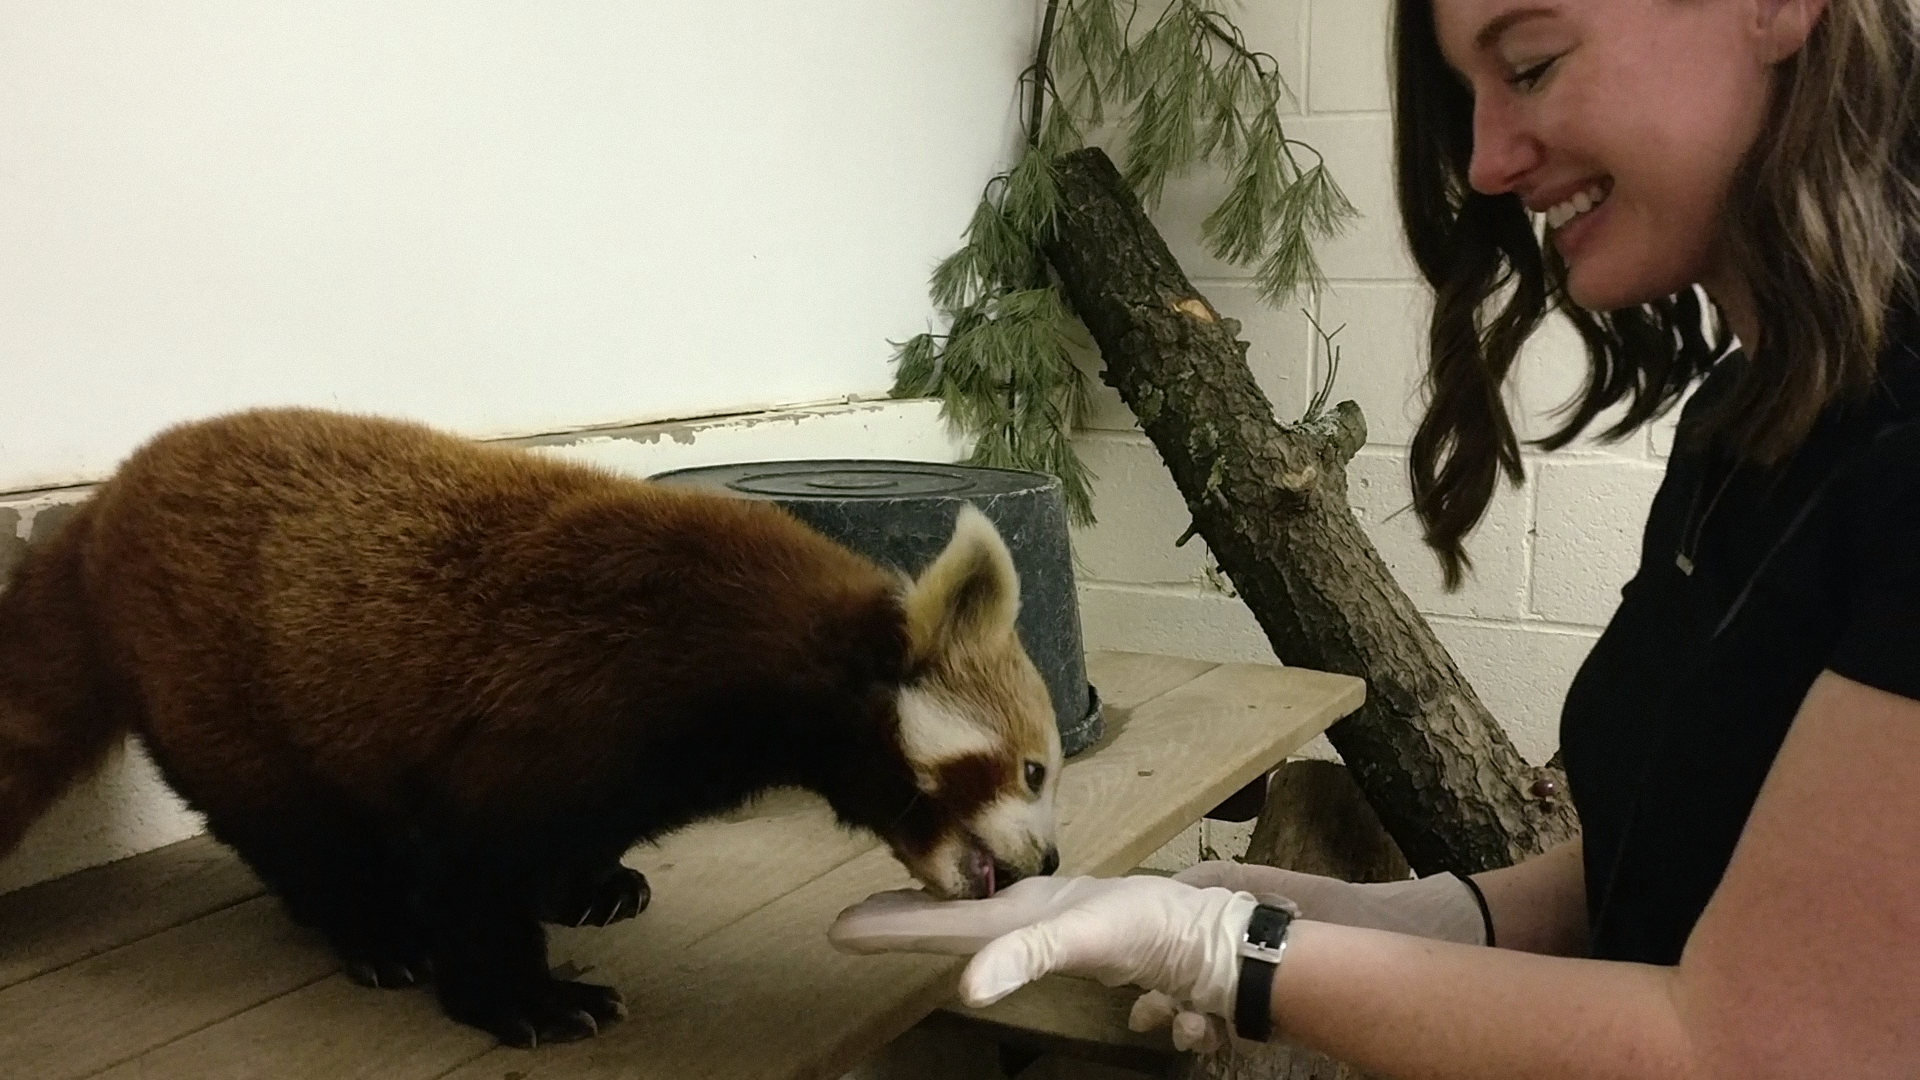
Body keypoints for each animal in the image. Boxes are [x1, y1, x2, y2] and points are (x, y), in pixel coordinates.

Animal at [0, 403, 1067, 1045]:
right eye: (1034, 772)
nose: (1050, 860)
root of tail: (104, 504)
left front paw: (591, 884)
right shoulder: (570, 709)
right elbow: (478, 867)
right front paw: (525, 998)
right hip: (220, 683)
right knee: (297, 830)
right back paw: (375, 932)